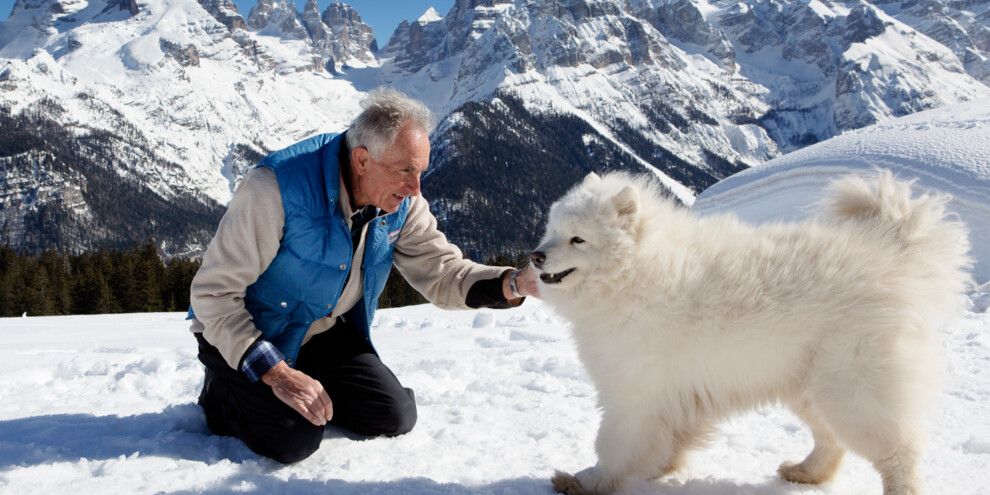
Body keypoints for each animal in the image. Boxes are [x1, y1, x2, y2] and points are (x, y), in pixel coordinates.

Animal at [540, 171, 972, 495]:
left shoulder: (632, 393)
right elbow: (666, 441)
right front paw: (660, 469)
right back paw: (804, 473)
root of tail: (892, 256)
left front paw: (586, 482)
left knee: (898, 455)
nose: (536, 255)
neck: (632, 271)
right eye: (552, 230)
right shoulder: (669, 397)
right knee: (831, 442)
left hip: (853, 391)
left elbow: (612, 444)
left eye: (578, 238)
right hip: (810, 387)